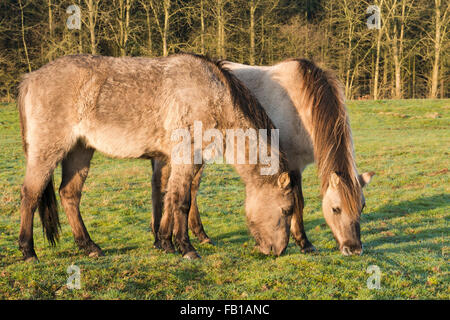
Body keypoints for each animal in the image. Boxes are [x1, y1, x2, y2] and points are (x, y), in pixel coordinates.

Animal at [16, 53, 298, 262]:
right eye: (286, 210)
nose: (279, 250)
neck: (211, 96)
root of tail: (31, 78)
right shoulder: (187, 156)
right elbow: (182, 201)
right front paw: (186, 248)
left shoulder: (168, 159)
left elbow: (166, 197)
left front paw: (164, 242)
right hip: (48, 151)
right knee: (31, 194)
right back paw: (28, 251)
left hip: (80, 151)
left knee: (69, 195)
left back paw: (89, 246)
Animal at [153, 58, 374, 256]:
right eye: (336, 209)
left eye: (362, 207)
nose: (354, 249)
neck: (303, 104)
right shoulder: (291, 165)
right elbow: (298, 202)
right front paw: (304, 242)